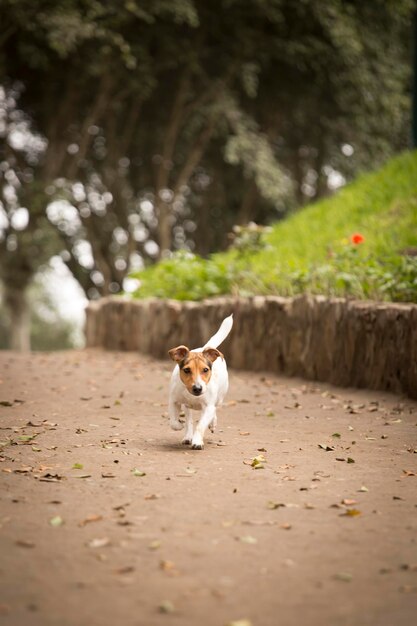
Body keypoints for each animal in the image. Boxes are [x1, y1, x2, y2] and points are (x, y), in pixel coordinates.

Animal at [169, 314, 234, 446]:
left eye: (205, 370)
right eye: (187, 370)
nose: (197, 388)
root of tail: (204, 347)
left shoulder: (208, 406)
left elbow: (200, 425)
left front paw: (197, 442)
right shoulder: (174, 401)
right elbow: (173, 421)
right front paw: (179, 425)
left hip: (219, 399)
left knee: (214, 410)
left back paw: (212, 423)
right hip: (186, 406)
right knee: (189, 420)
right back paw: (188, 436)